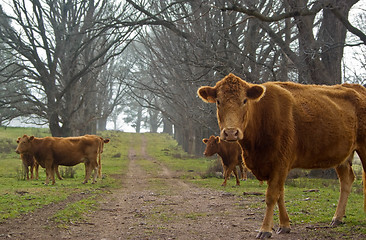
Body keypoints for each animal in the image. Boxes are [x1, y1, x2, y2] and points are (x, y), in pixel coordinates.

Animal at [197, 72, 366, 238]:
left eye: (244, 100)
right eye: (218, 101)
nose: (231, 132)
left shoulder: (280, 163)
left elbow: (272, 195)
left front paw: (265, 229)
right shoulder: (276, 166)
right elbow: (280, 194)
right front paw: (284, 225)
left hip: (363, 149)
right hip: (343, 157)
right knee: (346, 180)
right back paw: (337, 218)